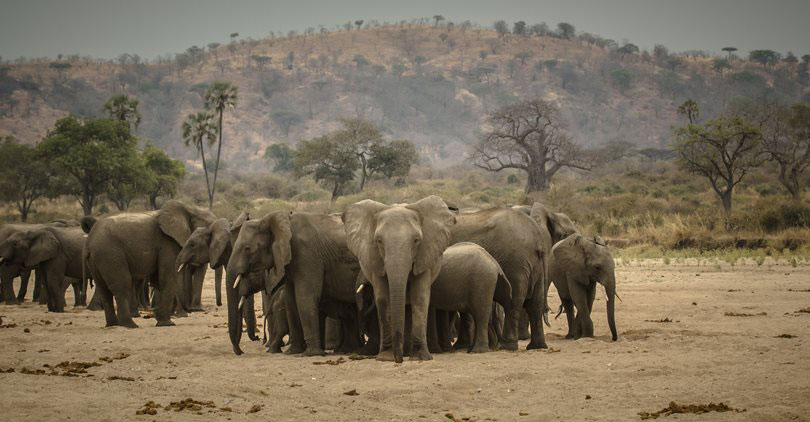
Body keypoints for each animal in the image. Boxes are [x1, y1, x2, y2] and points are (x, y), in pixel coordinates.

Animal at [82, 199, 215, 328]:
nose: (190, 311)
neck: (191, 208)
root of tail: (89, 241)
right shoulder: (167, 242)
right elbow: (167, 277)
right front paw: (167, 324)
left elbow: (158, 280)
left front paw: (160, 319)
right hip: (110, 254)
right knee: (122, 285)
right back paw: (130, 325)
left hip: (97, 259)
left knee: (103, 289)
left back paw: (112, 324)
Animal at [224, 211, 360, 356]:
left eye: (247, 248)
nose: (241, 352)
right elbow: (291, 300)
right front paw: (293, 352)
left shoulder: (307, 254)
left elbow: (304, 297)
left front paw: (311, 354)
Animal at [340, 195, 454, 362]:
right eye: (379, 241)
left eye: (416, 240)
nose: (398, 360)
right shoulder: (376, 260)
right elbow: (383, 299)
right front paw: (385, 357)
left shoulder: (425, 256)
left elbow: (419, 297)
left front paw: (420, 357)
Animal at [452, 207, 552, 350]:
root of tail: (538, 238)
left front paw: (461, 346)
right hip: (535, 265)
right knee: (535, 304)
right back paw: (537, 346)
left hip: (515, 263)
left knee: (512, 302)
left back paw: (506, 346)